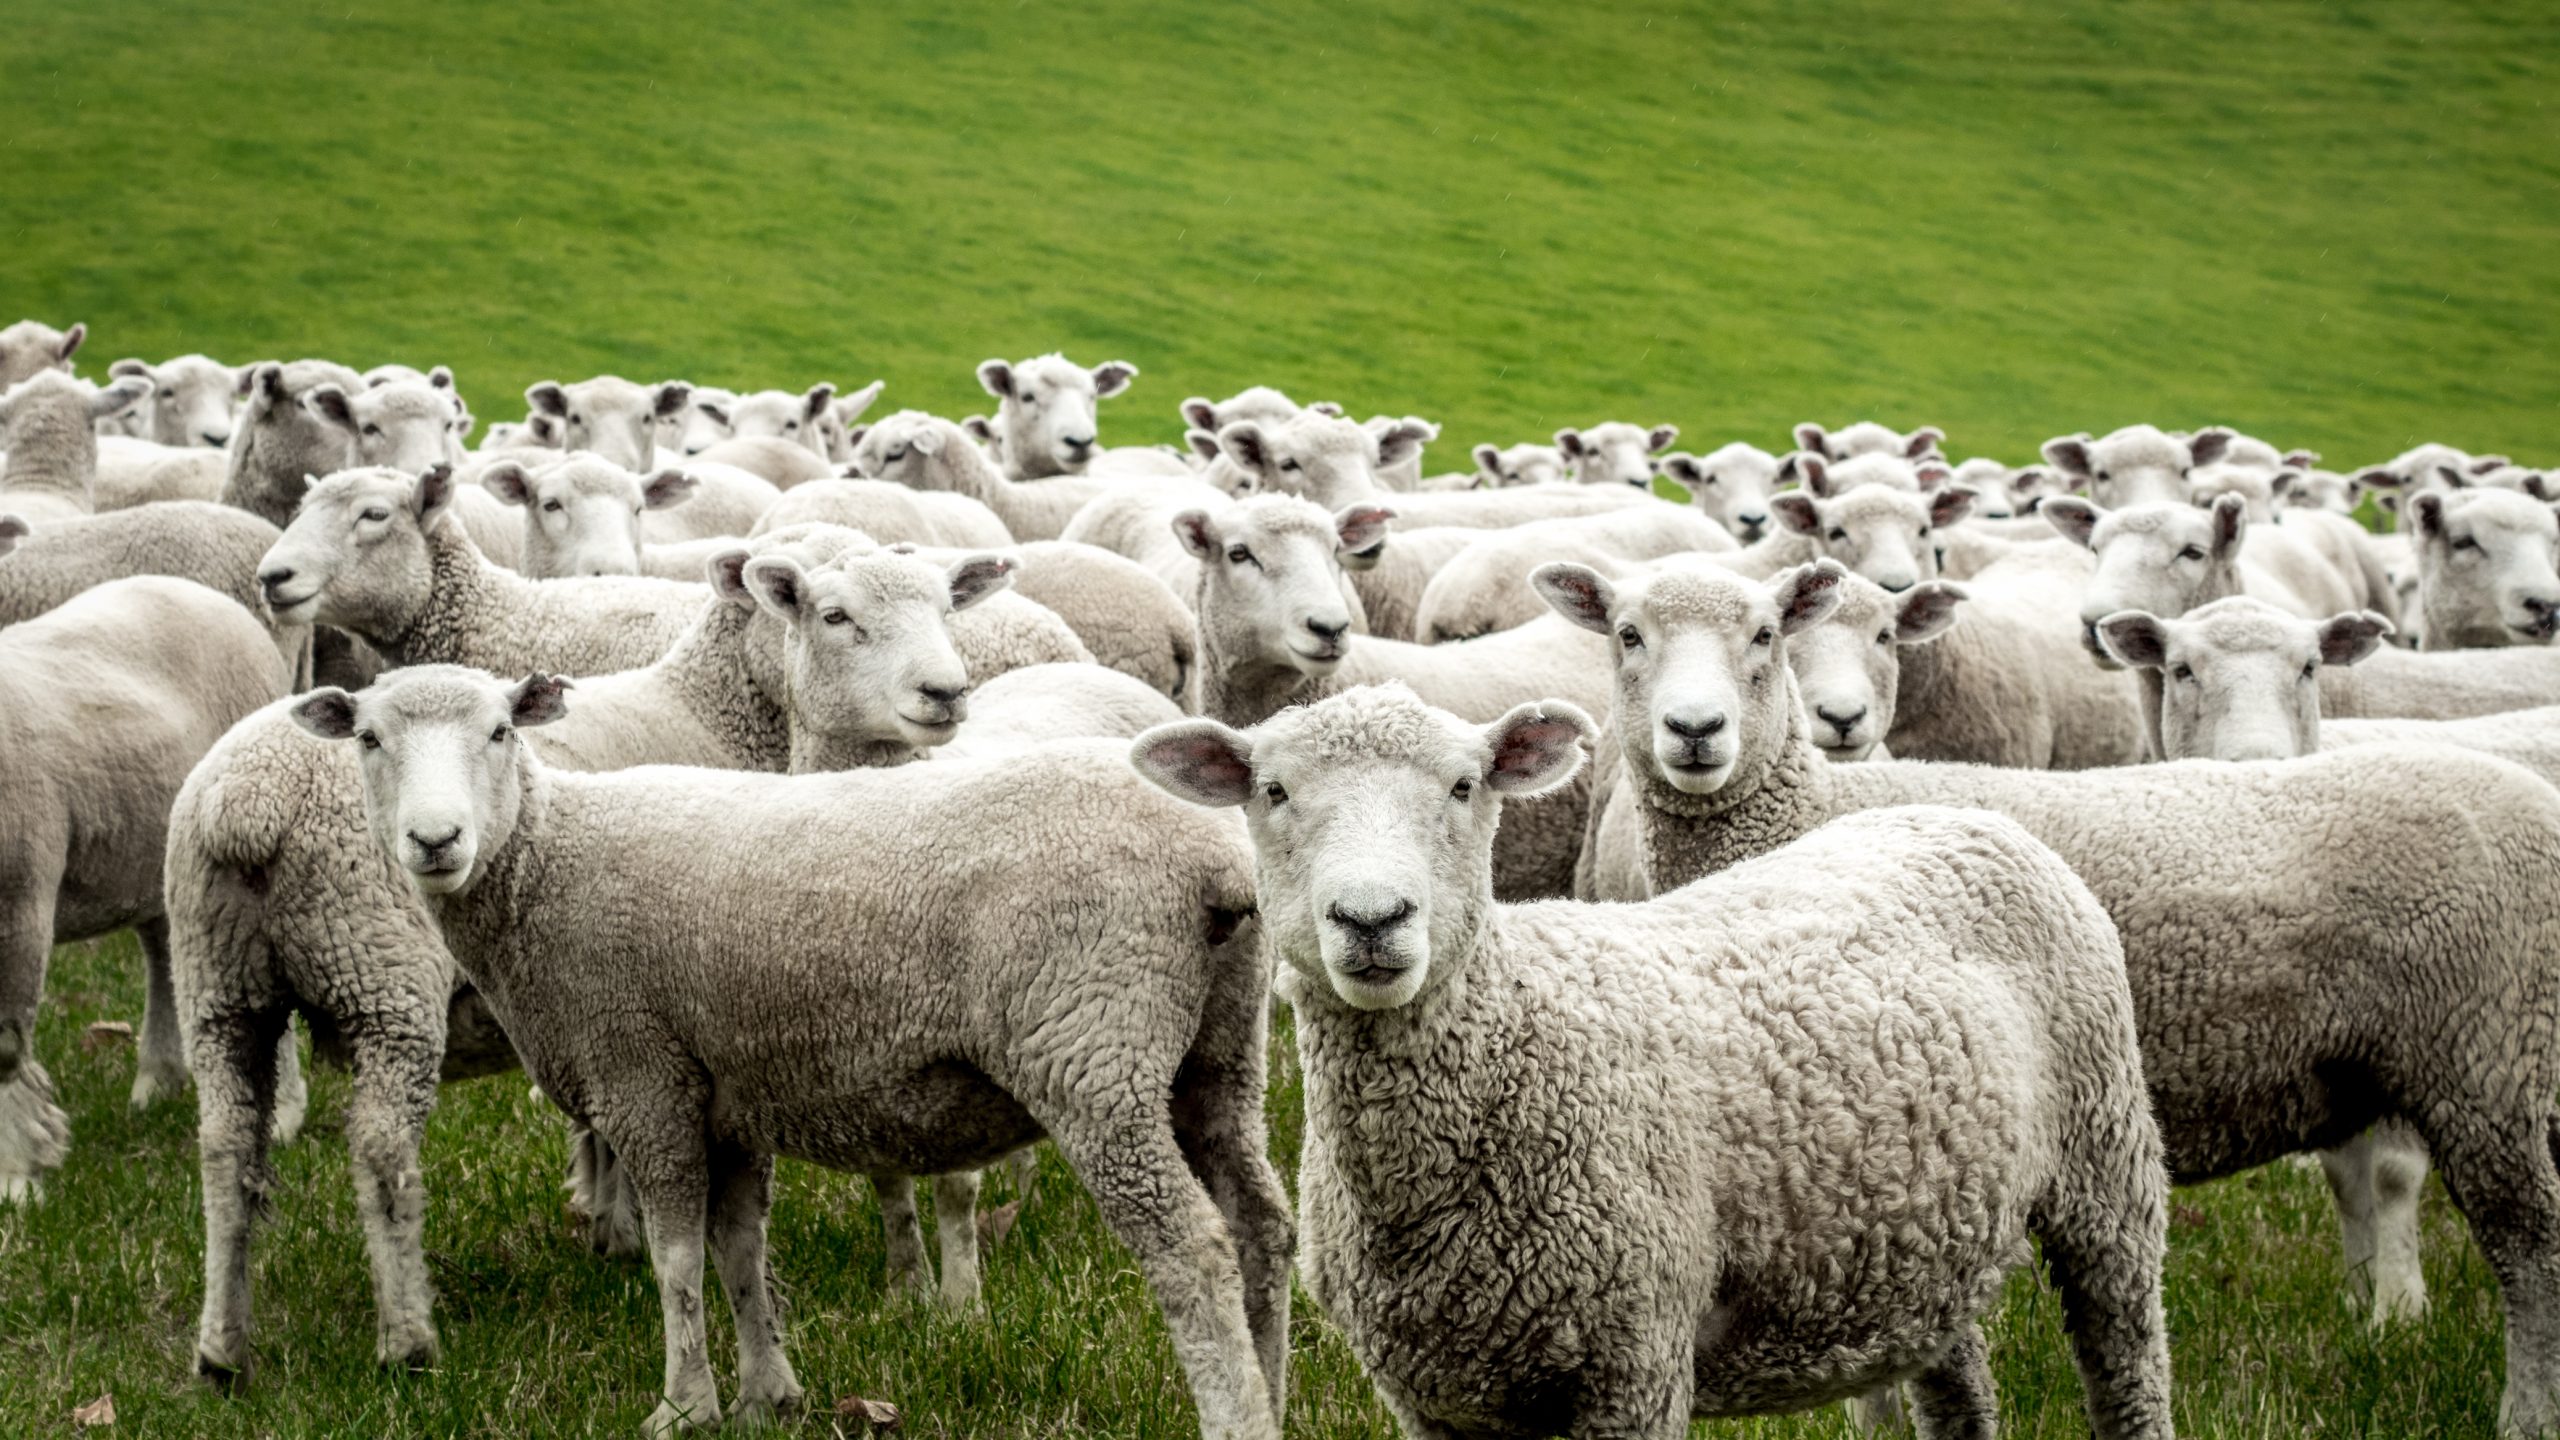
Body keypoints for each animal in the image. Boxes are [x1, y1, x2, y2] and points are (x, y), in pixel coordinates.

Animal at [285, 664, 1291, 1437]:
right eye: (368, 739)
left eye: (498, 732)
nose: (435, 841)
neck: (546, 861)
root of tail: (1215, 862)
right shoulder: (729, 1095)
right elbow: (739, 1251)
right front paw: (769, 1395)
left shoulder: (644, 1078)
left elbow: (676, 1261)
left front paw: (682, 1407)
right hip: (1219, 1056)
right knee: (1263, 1227)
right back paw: (1272, 1395)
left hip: (1093, 1048)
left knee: (1193, 1249)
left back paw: (1233, 1414)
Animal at [1131, 685, 2173, 1439]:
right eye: (1272, 792)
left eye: (1466, 787)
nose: (1373, 919)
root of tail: (1956, 818)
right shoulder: (1433, 1398)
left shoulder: (1631, 1364)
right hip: (1927, 1232)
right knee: (1956, 1385)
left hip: (2107, 1171)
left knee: (2128, 1362)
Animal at [1542, 554, 2560, 1427]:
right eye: (1627, 635)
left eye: (1764, 636)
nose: (1696, 732)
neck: (1803, 812)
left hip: (2487, 1057)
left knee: (2528, 1247)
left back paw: (2521, 1409)